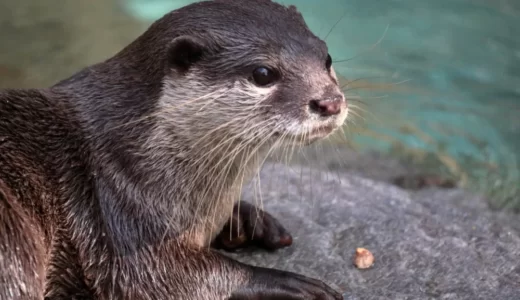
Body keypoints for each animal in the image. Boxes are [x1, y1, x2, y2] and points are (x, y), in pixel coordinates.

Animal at [0, 1, 350, 298]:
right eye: (263, 73)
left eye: (327, 58)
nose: (330, 102)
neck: (137, 157)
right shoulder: (121, 209)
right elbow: (158, 277)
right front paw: (290, 284)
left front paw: (248, 219)